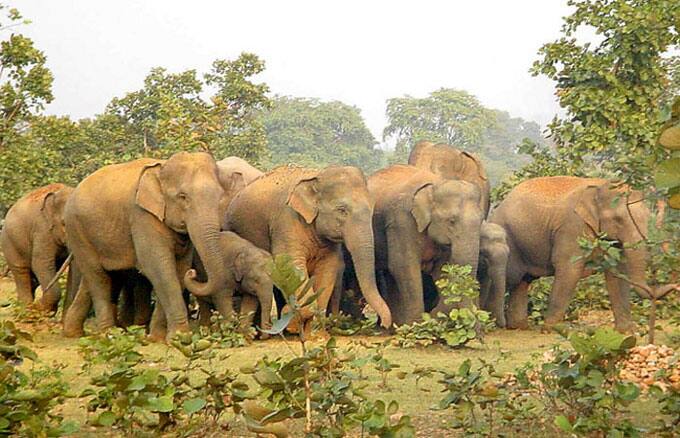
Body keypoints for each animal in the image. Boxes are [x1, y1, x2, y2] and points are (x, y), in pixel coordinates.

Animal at [0, 183, 74, 312]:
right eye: (65, 223)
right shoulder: (42, 229)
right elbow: (40, 263)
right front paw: (45, 311)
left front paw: (46, 310)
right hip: (9, 243)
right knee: (21, 271)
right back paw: (27, 309)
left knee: (34, 278)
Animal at [62, 152, 227, 341]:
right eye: (183, 196)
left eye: (219, 195)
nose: (193, 273)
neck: (161, 169)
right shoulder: (142, 216)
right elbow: (158, 267)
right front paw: (179, 338)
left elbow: (179, 269)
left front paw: (156, 338)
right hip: (77, 230)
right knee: (98, 277)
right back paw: (108, 335)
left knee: (103, 276)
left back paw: (73, 332)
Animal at [225, 165, 393, 331]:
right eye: (342, 210)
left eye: (371, 209)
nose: (384, 324)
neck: (316, 176)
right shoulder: (286, 221)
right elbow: (292, 264)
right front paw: (295, 319)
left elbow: (328, 269)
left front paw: (315, 330)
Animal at [367, 165, 484, 325]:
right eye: (451, 221)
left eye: (481, 221)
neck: (435, 184)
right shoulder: (401, 223)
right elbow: (403, 266)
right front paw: (415, 325)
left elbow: (442, 269)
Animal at [490, 176, 651, 332]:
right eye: (618, 220)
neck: (599, 186)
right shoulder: (572, 226)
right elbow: (570, 269)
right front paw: (552, 329)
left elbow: (617, 272)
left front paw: (627, 332)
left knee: (522, 281)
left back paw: (517, 326)